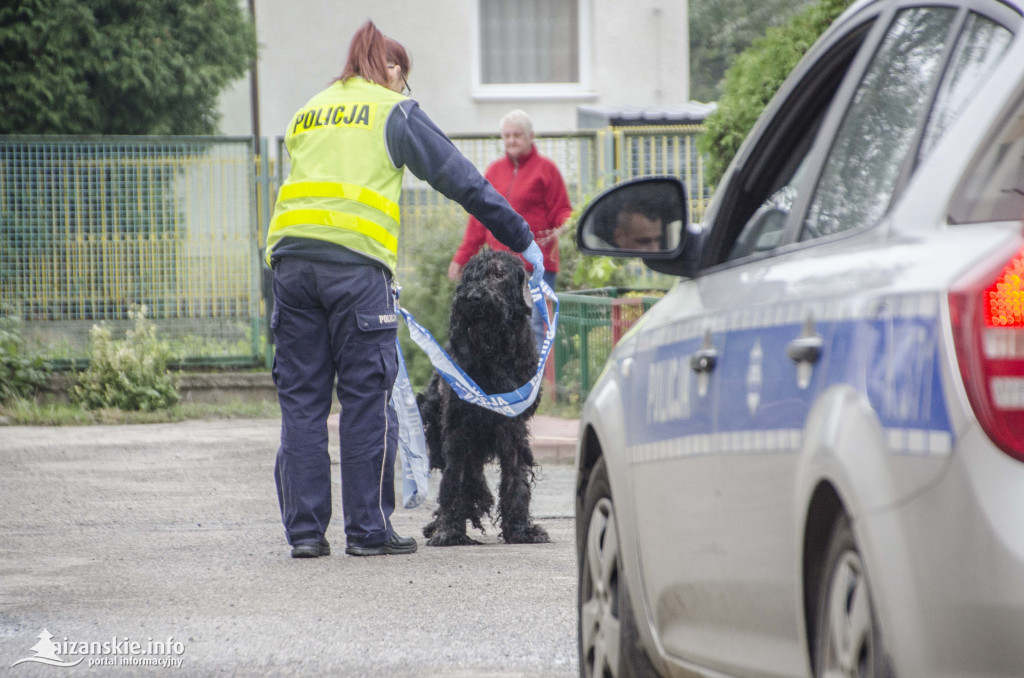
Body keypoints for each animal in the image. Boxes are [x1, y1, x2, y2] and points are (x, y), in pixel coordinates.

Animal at [413, 249, 552, 548]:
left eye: (499, 274)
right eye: (469, 276)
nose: (473, 297)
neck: (494, 354)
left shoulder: (512, 427)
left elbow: (515, 478)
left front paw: (520, 529)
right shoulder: (458, 427)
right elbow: (454, 480)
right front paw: (450, 531)